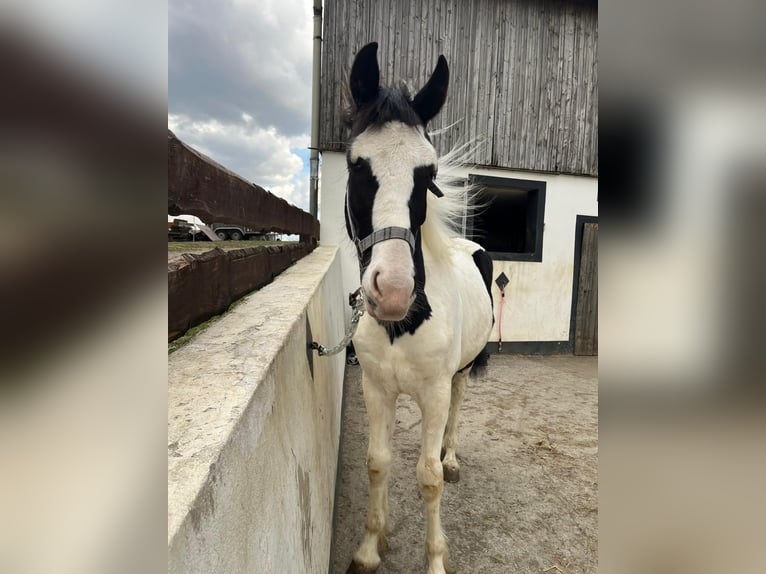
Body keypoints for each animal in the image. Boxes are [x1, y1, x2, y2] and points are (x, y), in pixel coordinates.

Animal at [342, 42, 494, 574]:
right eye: (356, 165)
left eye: (427, 175)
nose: (391, 292)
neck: (403, 326)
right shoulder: (376, 389)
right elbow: (377, 462)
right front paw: (371, 546)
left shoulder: (433, 392)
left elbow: (427, 478)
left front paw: (434, 560)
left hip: (460, 376)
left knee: (456, 415)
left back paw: (451, 458)